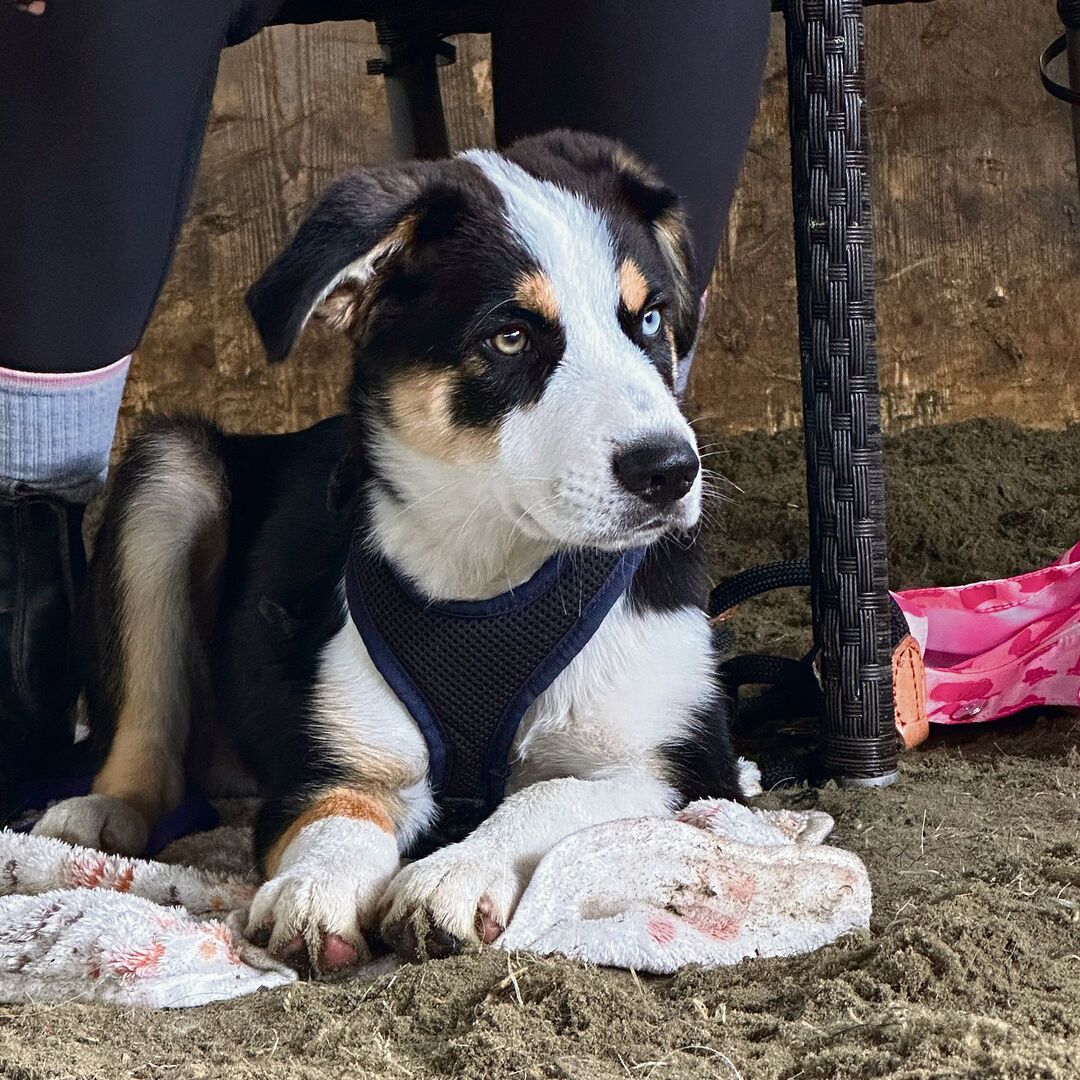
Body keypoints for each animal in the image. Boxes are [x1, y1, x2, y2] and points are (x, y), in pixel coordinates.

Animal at [33, 130, 752, 974]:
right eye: (509, 336)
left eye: (649, 321)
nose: (670, 472)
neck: (486, 573)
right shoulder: (335, 762)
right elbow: (340, 814)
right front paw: (317, 887)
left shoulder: (686, 767)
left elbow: (550, 796)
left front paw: (454, 872)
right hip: (170, 471)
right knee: (148, 726)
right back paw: (100, 810)